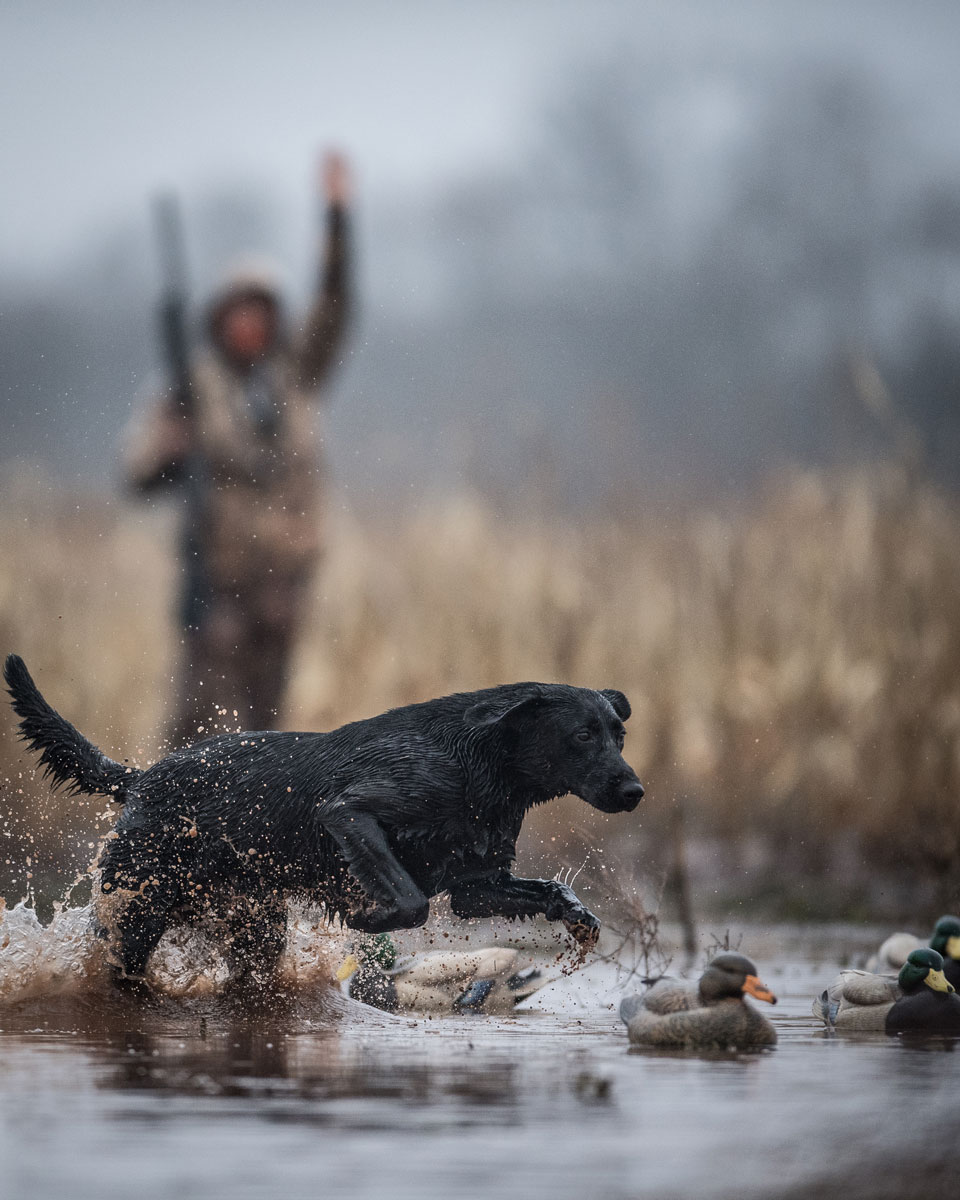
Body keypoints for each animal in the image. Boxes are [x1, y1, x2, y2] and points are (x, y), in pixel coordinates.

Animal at [3, 657, 643, 984]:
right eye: (583, 735)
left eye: (619, 733)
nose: (635, 791)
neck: (480, 758)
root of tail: (138, 779)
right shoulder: (350, 812)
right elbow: (409, 899)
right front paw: (370, 918)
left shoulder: (477, 886)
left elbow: (551, 889)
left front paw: (582, 921)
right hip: (137, 909)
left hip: (254, 926)